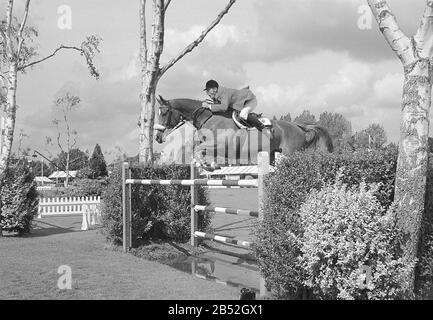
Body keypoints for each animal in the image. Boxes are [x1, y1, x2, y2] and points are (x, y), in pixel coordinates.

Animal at [154, 95, 332, 168]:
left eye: (164, 113)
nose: (157, 137)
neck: (208, 117)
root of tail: (298, 126)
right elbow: (197, 148)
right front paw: (206, 164)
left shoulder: (221, 145)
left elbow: (197, 148)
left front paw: (206, 165)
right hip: (273, 155)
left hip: (291, 154)